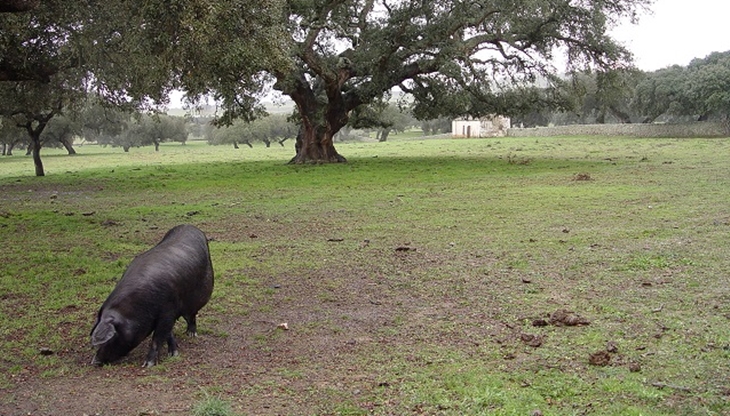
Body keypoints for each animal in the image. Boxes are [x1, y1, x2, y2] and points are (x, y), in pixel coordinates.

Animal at [89, 224, 212, 368]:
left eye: (110, 339)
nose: (94, 361)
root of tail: (191, 226)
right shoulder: (167, 316)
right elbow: (168, 334)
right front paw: (173, 354)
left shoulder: (167, 311)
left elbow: (157, 338)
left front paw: (147, 365)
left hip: (195, 299)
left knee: (191, 316)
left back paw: (191, 335)